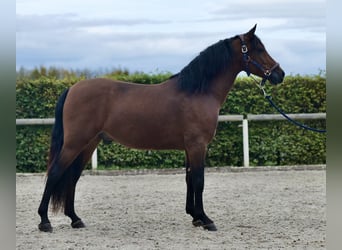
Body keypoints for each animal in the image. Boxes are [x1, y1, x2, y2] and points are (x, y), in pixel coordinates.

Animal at [37, 24, 284, 232]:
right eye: (258, 49)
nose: (279, 74)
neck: (197, 91)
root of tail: (72, 89)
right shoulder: (198, 145)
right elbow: (199, 181)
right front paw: (206, 220)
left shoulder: (189, 147)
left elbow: (189, 179)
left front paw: (195, 216)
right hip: (75, 143)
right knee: (56, 173)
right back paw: (44, 221)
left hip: (88, 144)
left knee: (72, 177)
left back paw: (75, 219)